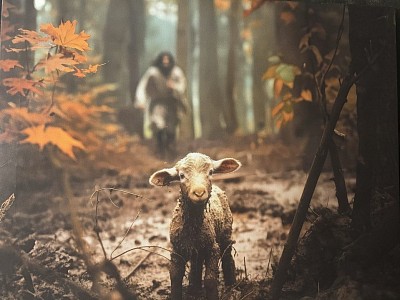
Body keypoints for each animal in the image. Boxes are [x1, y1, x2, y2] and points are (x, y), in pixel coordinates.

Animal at [149, 154, 241, 298]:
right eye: (181, 175)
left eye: (210, 172)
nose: (199, 192)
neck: (193, 226)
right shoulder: (177, 250)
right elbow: (175, 278)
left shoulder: (212, 248)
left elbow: (210, 280)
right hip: (197, 248)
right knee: (196, 264)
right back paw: (194, 289)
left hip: (226, 231)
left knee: (227, 257)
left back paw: (232, 286)